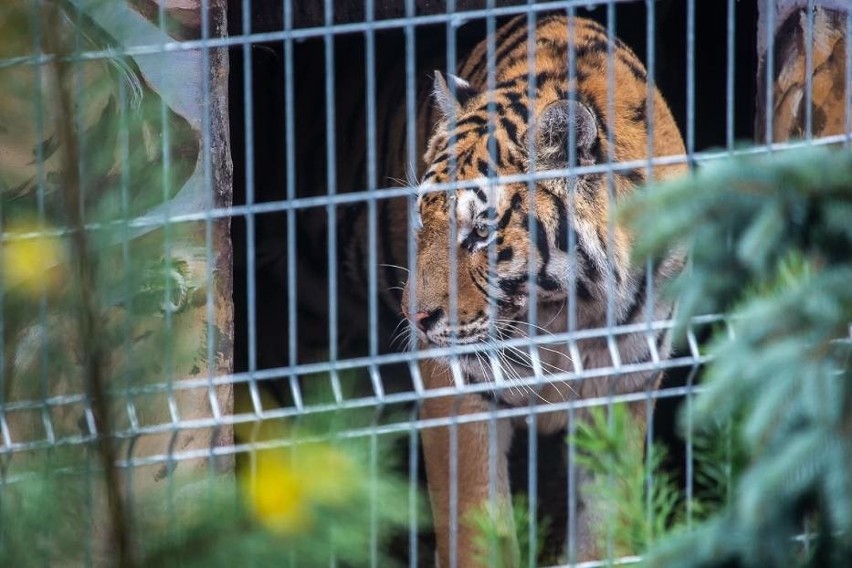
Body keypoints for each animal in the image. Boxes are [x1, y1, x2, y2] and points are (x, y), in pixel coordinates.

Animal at [400, 14, 684, 568]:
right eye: (422, 219)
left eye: (481, 232)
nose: (414, 317)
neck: (567, 310)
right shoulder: (459, 390)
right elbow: (476, 535)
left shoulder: (625, 385)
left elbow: (606, 529)